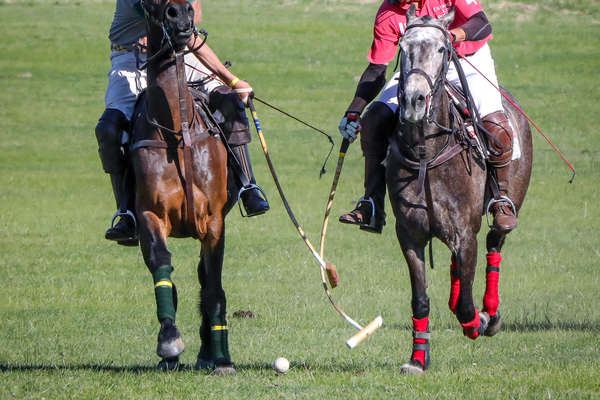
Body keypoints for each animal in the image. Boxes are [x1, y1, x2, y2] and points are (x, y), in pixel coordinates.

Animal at [129, 0, 237, 376]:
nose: (180, 14)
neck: (176, 131)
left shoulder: (215, 221)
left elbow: (215, 286)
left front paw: (222, 359)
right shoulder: (149, 214)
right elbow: (163, 269)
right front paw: (169, 342)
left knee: (206, 281)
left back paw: (211, 351)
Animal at [386, 7, 532, 374]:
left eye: (442, 49)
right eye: (402, 47)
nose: (413, 101)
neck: (428, 153)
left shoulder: (466, 232)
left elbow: (467, 302)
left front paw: (478, 321)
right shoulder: (409, 234)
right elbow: (420, 299)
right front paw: (418, 359)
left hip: (509, 200)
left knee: (495, 242)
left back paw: (490, 313)